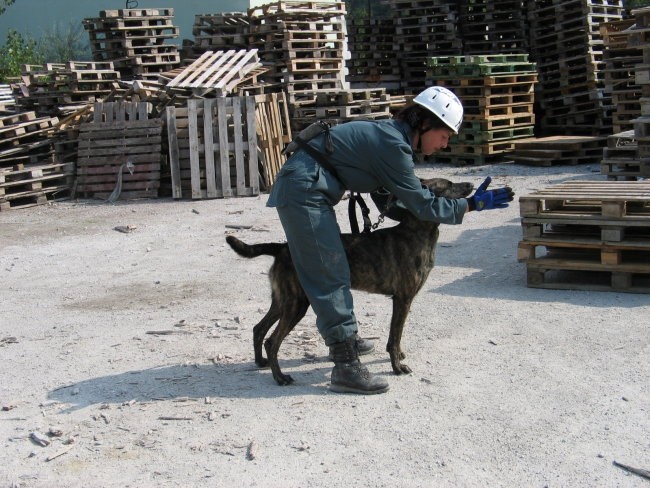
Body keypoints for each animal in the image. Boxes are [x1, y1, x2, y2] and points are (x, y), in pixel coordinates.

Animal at [225, 177, 474, 386]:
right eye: (448, 185)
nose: (471, 184)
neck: (417, 231)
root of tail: (282, 248)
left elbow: (398, 336)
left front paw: (400, 356)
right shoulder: (402, 300)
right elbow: (394, 337)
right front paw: (397, 366)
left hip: (283, 301)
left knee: (259, 329)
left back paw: (261, 362)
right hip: (296, 305)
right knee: (272, 341)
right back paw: (280, 377)